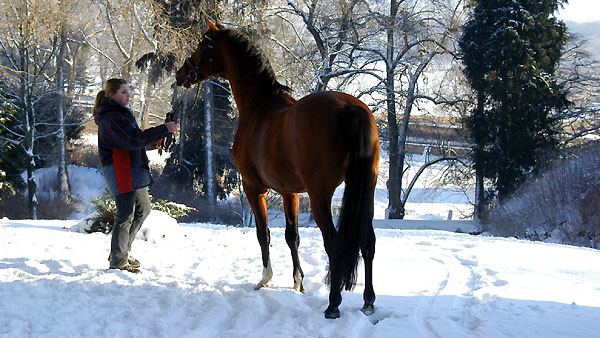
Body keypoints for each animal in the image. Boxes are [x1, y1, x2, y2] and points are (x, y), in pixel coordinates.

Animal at [175, 19, 380, 318]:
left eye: (202, 46)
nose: (181, 74)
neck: (259, 106)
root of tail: (349, 107)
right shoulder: (289, 192)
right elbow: (292, 236)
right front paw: (298, 283)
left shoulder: (254, 188)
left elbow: (264, 234)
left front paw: (265, 279)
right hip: (367, 190)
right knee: (368, 241)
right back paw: (368, 301)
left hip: (320, 195)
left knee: (333, 242)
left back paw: (333, 304)